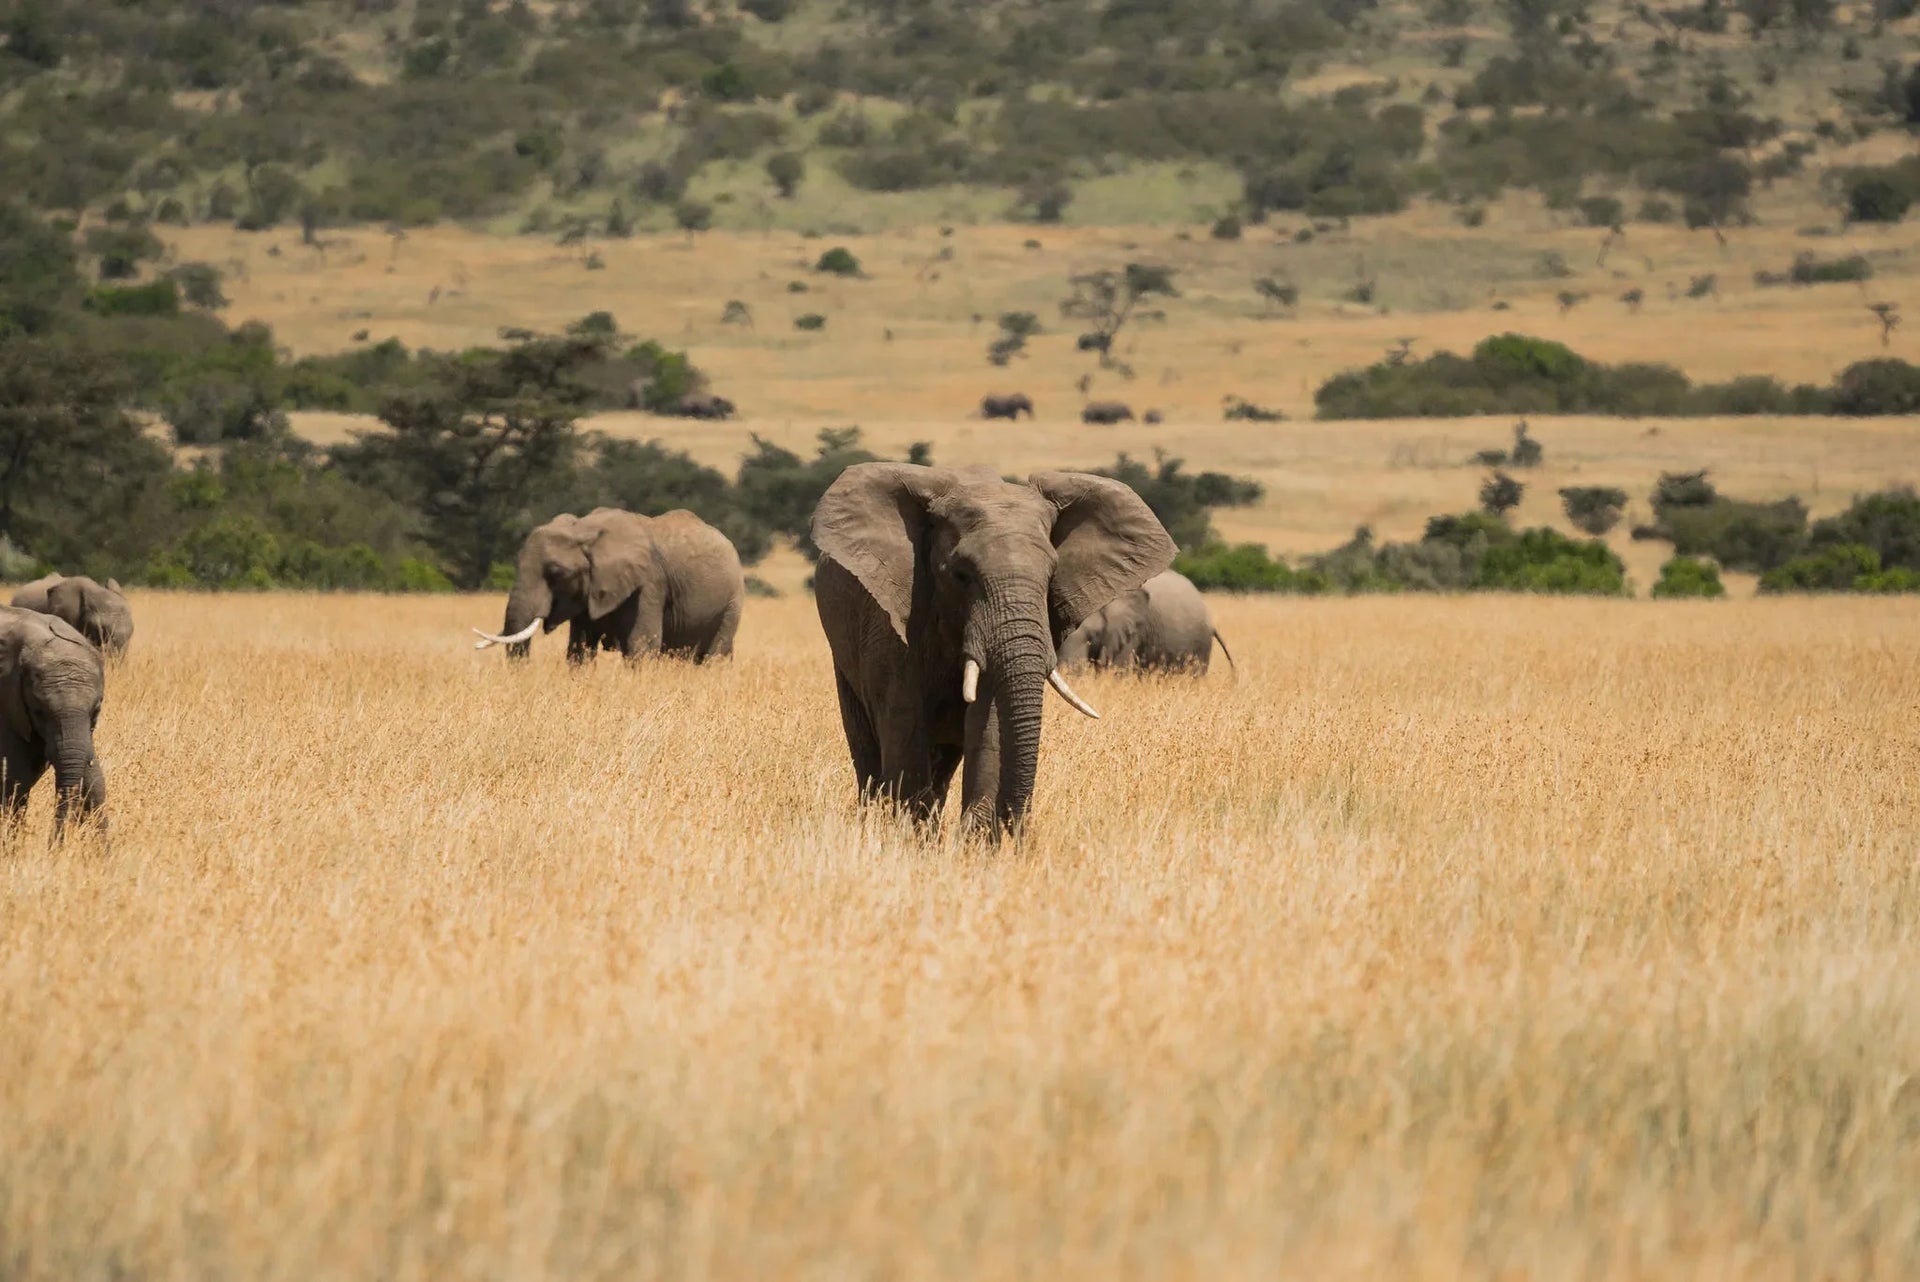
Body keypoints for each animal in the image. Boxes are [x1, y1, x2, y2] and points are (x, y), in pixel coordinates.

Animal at [472, 508, 745, 663]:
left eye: (556, 573)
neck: (586, 530)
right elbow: (579, 649)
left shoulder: (649, 585)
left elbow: (641, 647)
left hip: (732, 601)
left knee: (715, 656)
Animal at [812, 462, 1176, 837]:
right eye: (961, 575)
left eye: (1052, 576)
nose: (1016, 826)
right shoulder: (894, 623)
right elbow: (904, 721)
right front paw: (912, 836)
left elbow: (989, 720)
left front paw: (975, 837)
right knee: (868, 749)